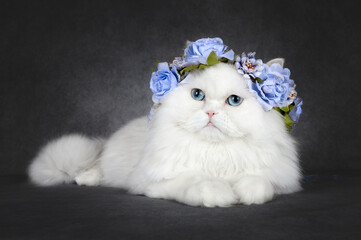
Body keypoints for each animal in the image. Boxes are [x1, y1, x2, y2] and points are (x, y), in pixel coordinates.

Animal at [28, 61, 300, 207]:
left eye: (233, 101)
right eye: (198, 95)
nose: (210, 112)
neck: (214, 154)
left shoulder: (277, 179)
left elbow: (258, 182)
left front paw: (245, 193)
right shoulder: (156, 182)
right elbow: (196, 181)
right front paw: (219, 194)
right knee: (95, 170)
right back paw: (85, 178)